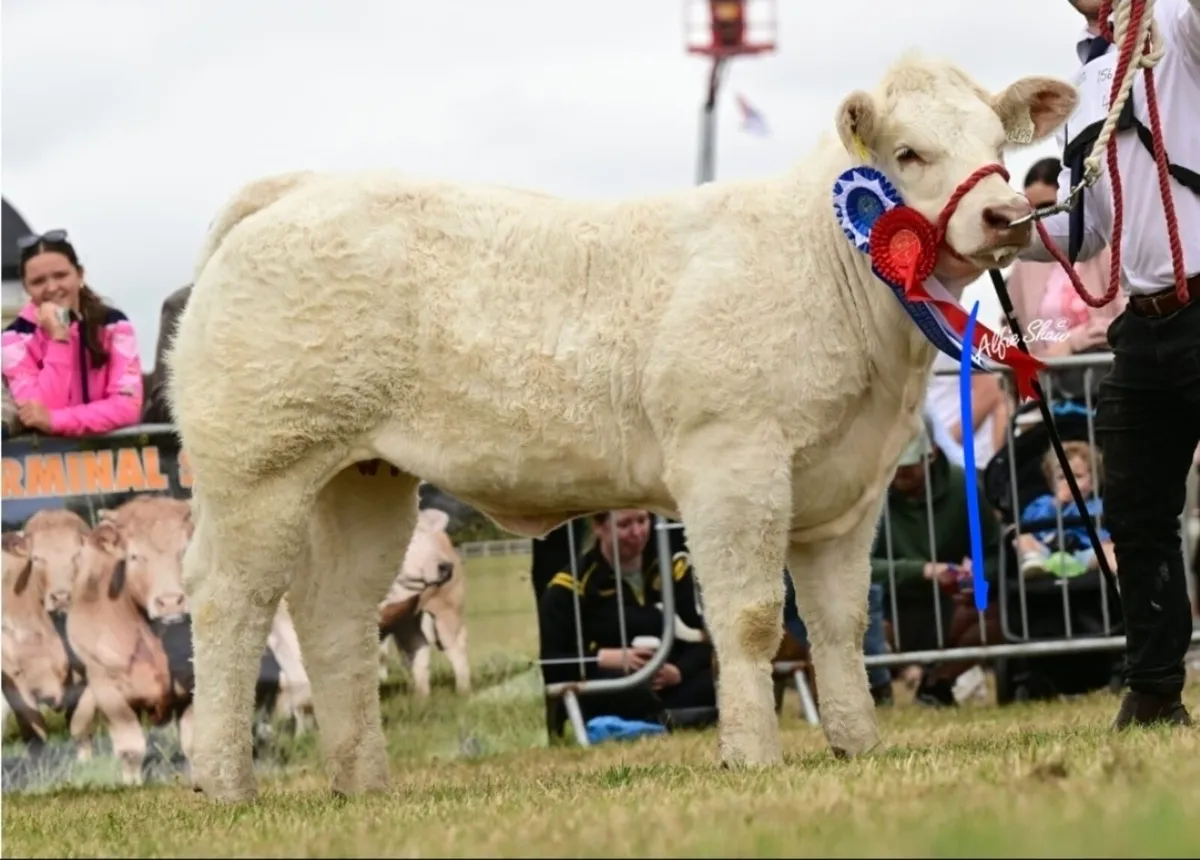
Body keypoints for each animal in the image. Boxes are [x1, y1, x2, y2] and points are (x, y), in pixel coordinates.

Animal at [377, 507, 470, 697]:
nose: (446, 567)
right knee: (417, 650)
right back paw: (422, 697)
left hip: (447, 609)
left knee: (454, 645)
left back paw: (463, 692)